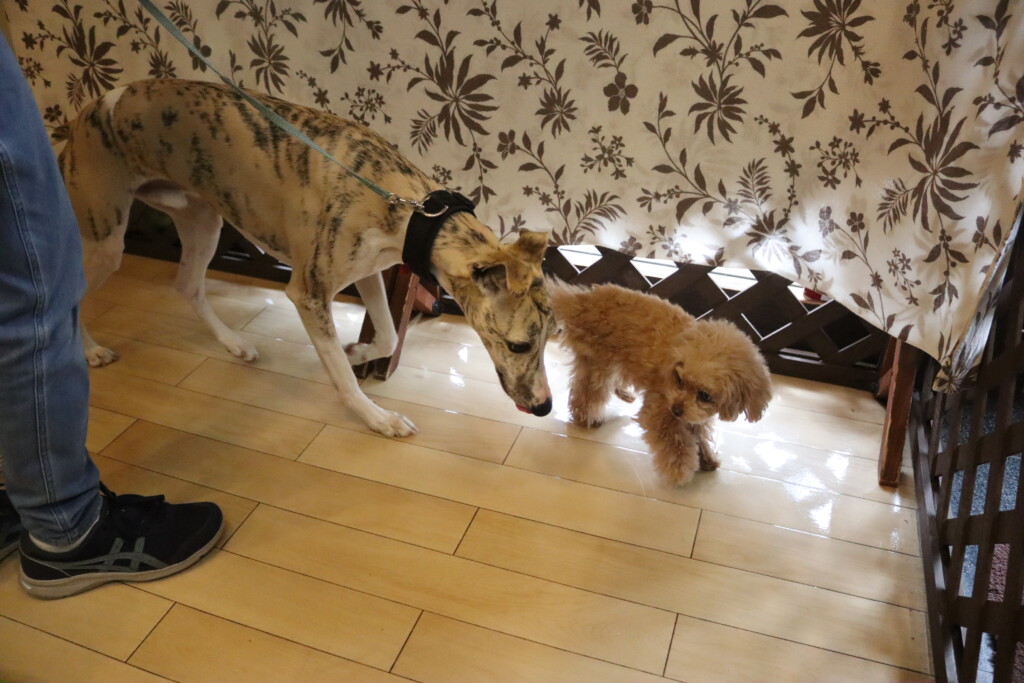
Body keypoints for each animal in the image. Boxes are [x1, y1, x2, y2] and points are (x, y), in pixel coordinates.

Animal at [59, 78, 556, 437]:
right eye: (518, 345)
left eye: (549, 338)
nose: (546, 406)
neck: (409, 207)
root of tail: (89, 109)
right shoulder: (309, 292)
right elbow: (342, 373)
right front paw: (378, 417)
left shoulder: (370, 270)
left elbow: (388, 336)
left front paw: (358, 351)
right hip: (106, 236)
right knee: (74, 294)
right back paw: (92, 351)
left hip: (201, 218)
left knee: (186, 284)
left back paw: (234, 344)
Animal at [549, 282, 772, 485]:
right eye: (680, 380)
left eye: (705, 395)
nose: (676, 410)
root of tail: (582, 300)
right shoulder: (659, 408)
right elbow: (674, 441)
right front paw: (681, 469)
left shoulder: (695, 415)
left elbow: (698, 434)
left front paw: (706, 459)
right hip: (598, 362)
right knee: (585, 394)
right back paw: (587, 418)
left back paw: (625, 395)